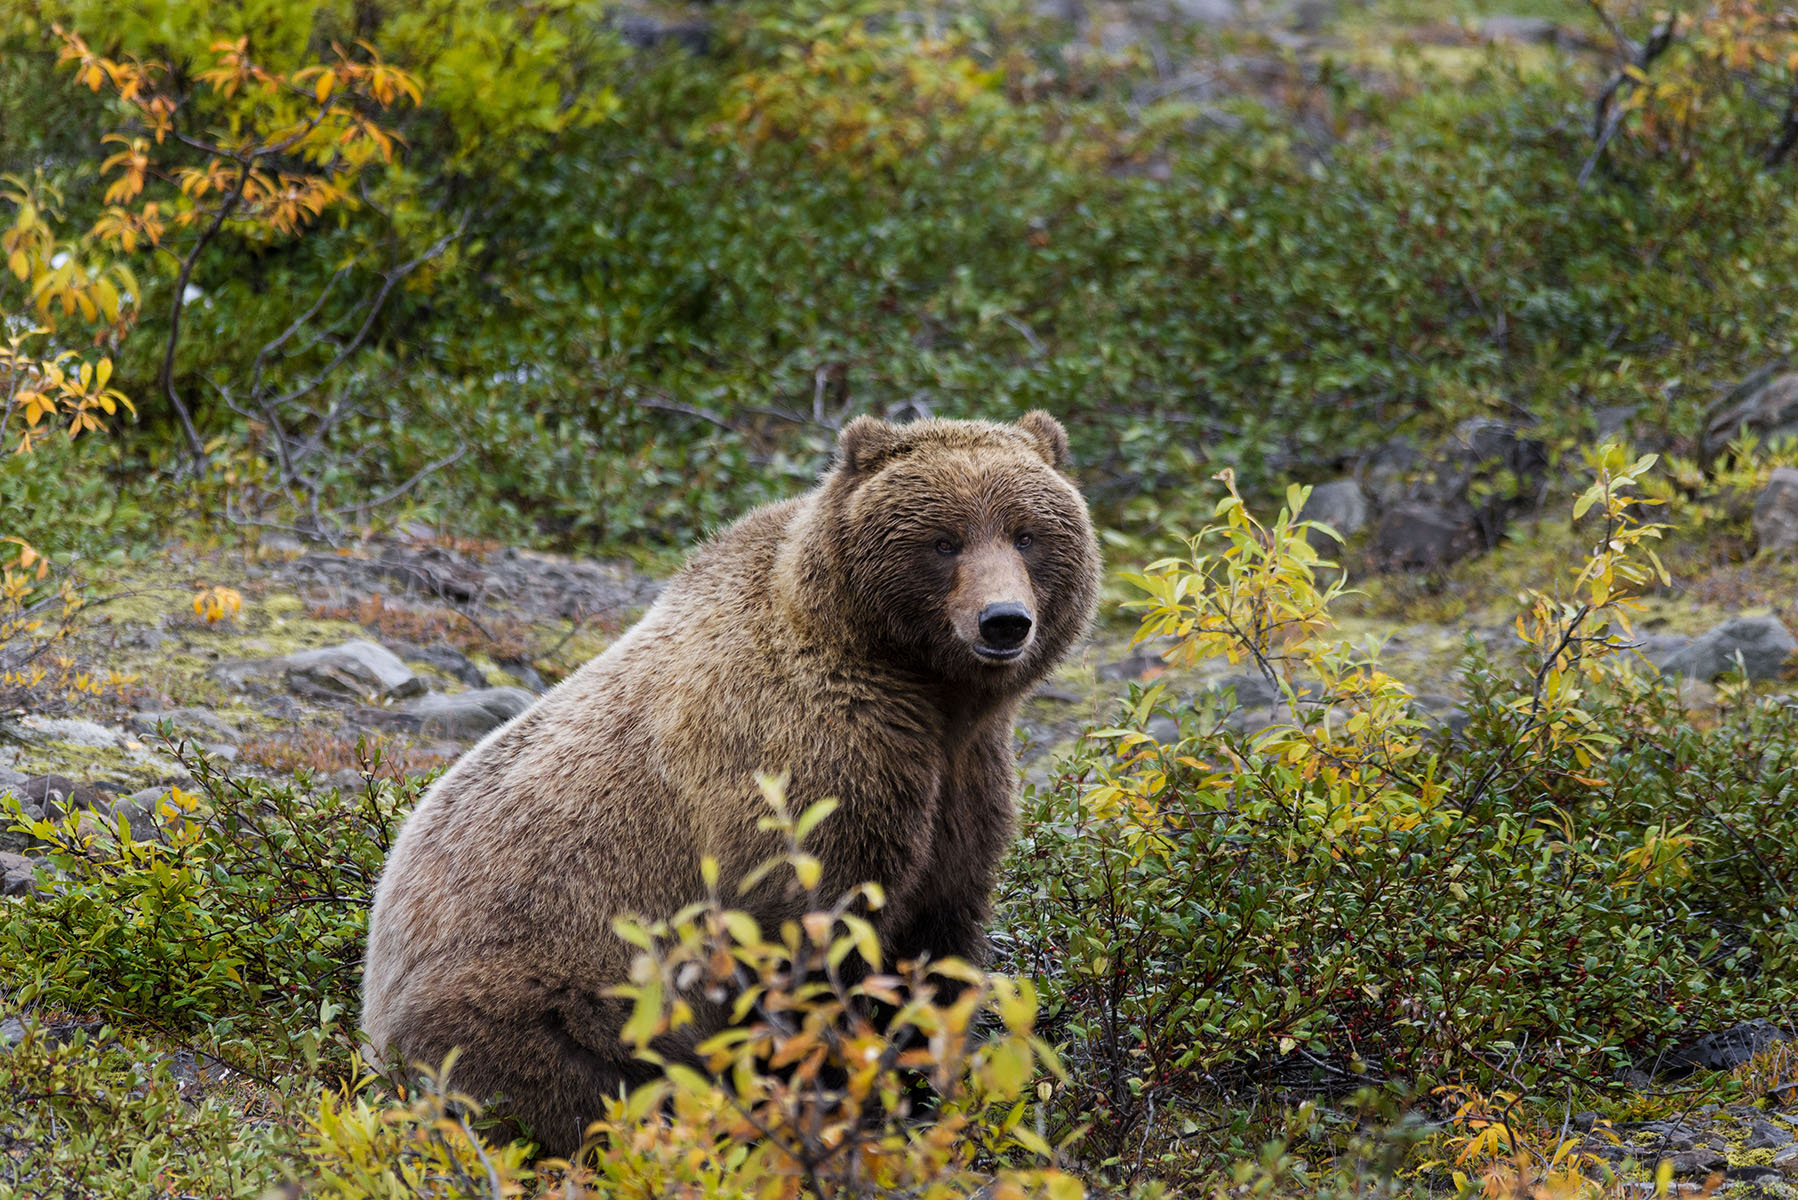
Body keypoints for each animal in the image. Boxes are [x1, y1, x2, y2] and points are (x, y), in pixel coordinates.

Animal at [359, 411, 1101, 1156]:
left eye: (1027, 533)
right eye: (944, 541)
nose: (1003, 620)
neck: (921, 689)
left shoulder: (963, 783)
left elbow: (938, 945)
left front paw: (925, 1095)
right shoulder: (807, 766)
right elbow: (811, 946)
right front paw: (839, 1106)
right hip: (543, 994)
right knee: (581, 1086)